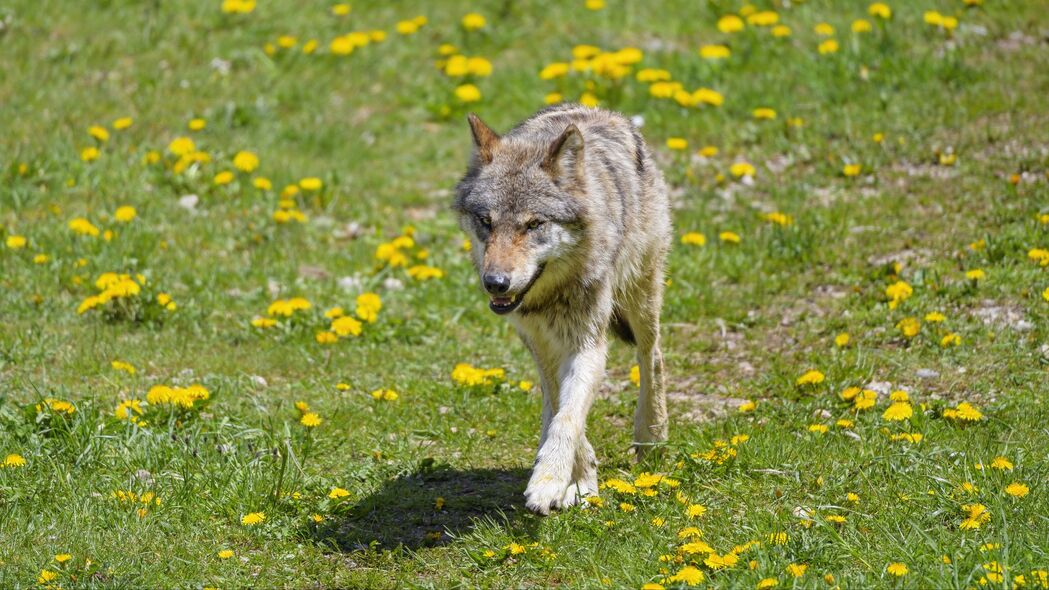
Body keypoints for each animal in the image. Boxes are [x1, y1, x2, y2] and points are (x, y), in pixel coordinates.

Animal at [453, 102, 671, 514]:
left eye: (534, 224)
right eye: (486, 222)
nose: (496, 283)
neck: (550, 298)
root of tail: (600, 111)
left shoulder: (588, 345)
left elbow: (569, 417)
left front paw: (550, 481)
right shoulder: (542, 345)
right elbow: (561, 410)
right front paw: (579, 480)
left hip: (641, 299)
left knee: (652, 357)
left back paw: (651, 437)